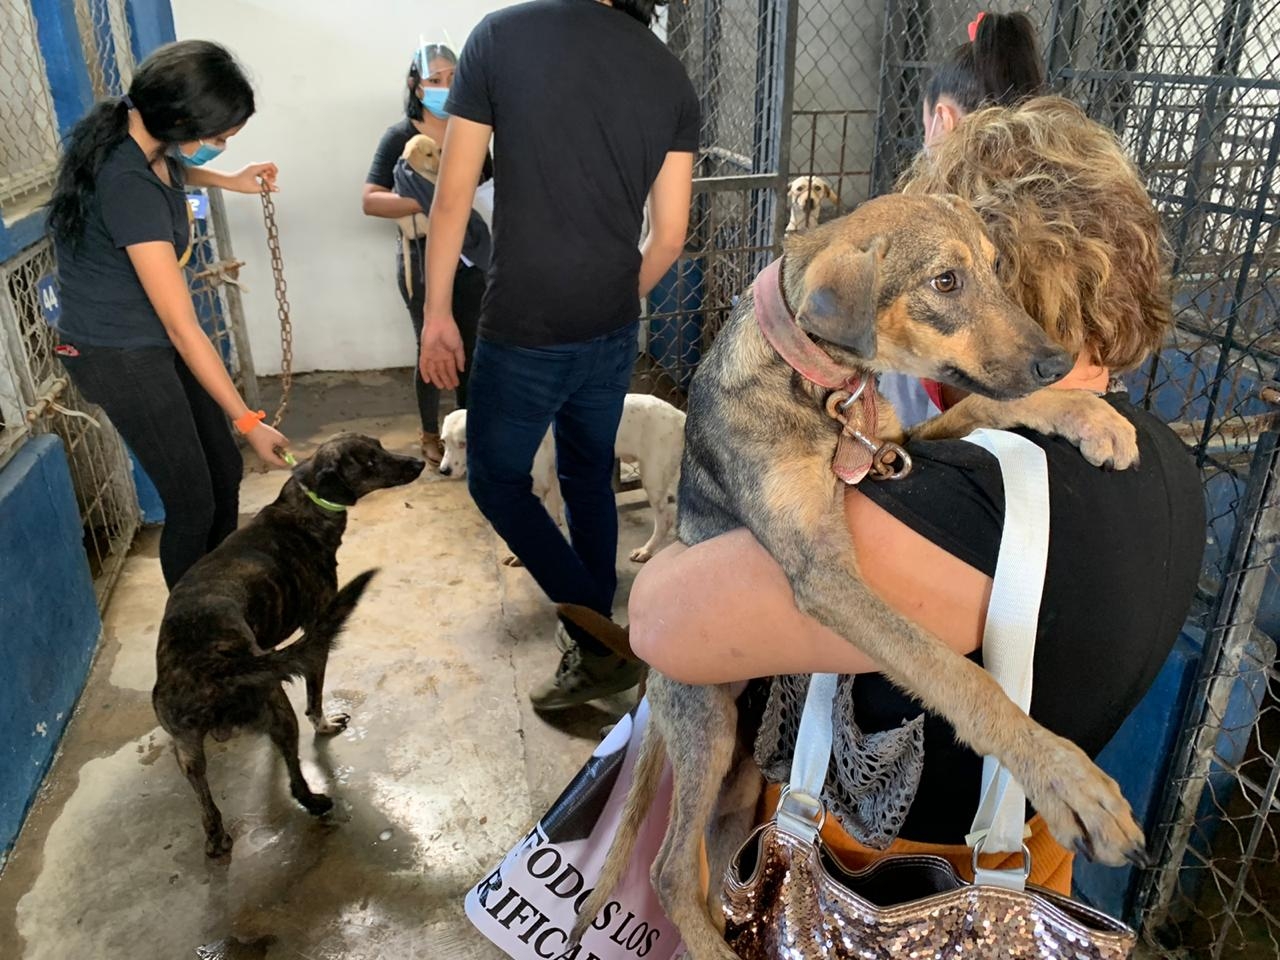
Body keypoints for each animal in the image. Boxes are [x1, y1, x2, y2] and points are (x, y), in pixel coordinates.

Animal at [154, 435, 424, 855]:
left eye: (380, 447)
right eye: (369, 461)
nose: (419, 463)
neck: (307, 502)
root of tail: (213, 669)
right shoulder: (317, 632)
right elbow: (315, 696)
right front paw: (326, 724)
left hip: (186, 748)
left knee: (204, 798)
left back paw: (216, 837)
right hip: (279, 705)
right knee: (295, 775)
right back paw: (315, 801)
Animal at [437, 394, 686, 568]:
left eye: (463, 443)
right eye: (443, 442)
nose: (443, 471)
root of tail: (678, 416)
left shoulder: (535, 489)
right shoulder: (552, 480)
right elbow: (554, 516)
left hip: (653, 478)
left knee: (665, 519)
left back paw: (647, 550)